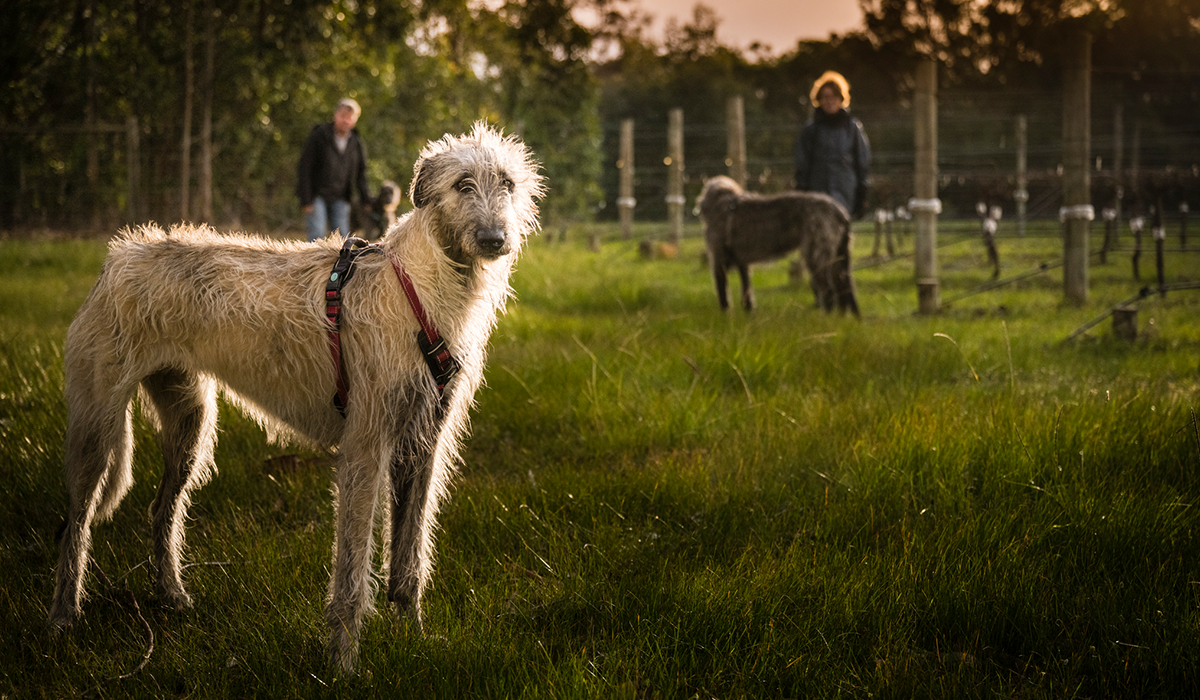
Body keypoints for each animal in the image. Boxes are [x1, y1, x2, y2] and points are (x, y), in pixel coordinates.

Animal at [50, 124, 544, 672]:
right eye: (462, 184)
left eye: (507, 183)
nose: (495, 240)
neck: (419, 284)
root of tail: (118, 257)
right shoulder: (365, 447)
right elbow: (352, 571)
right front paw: (344, 662)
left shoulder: (421, 447)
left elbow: (409, 560)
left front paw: (414, 636)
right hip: (97, 428)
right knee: (77, 522)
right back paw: (64, 616)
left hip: (189, 421)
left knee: (161, 508)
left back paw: (171, 596)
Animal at [700, 176, 859, 316]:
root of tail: (841, 212)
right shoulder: (742, 263)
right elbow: (746, 290)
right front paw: (749, 313)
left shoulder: (718, 260)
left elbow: (723, 292)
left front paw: (725, 316)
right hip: (839, 257)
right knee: (845, 290)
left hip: (816, 253)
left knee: (829, 291)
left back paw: (825, 319)